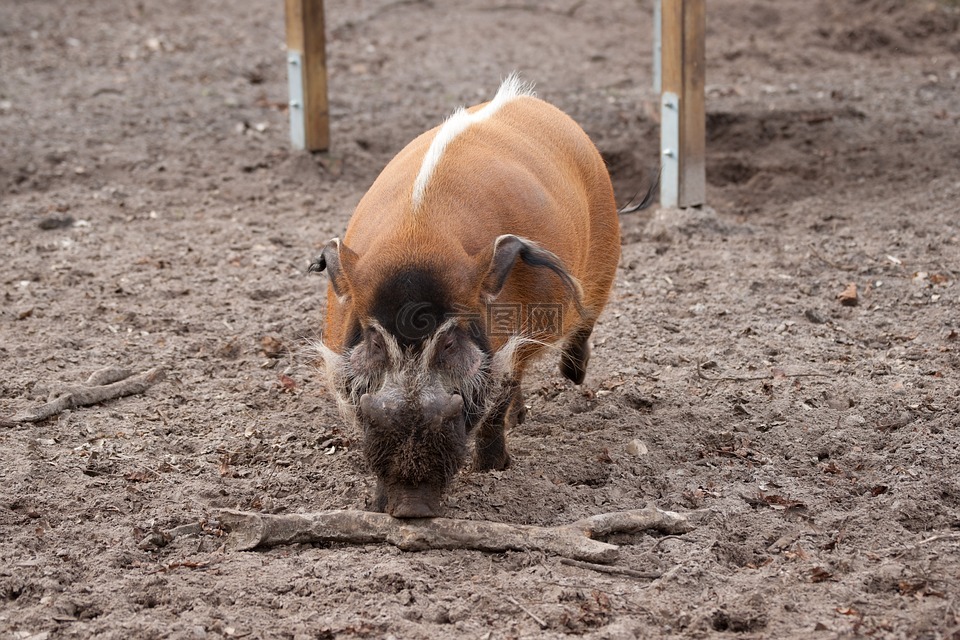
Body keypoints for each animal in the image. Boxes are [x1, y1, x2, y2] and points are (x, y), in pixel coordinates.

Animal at [312, 75, 620, 516]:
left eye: (450, 340)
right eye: (374, 339)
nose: (412, 508)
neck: (416, 244)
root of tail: (525, 99)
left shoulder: (507, 344)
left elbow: (495, 402)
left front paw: (492, 470)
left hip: (607, 254)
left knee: (585, 321)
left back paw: (571, 376)